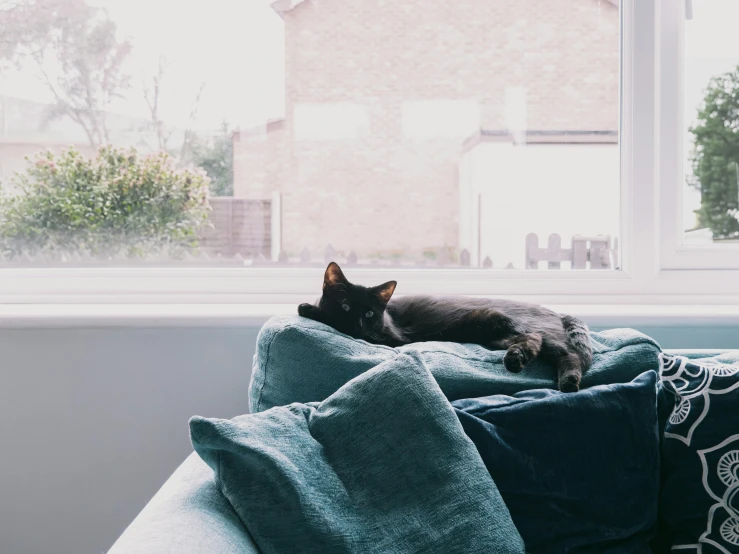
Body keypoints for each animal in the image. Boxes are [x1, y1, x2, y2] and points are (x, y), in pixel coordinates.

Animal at [298, 260, 592, 390]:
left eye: (369, 313)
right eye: (345, 307)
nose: (358, 325)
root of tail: (554, 311)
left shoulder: (390, 338)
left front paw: (308, 308)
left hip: (516, 324)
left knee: (565, 352)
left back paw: (567, 381)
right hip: (497, 334)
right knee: (533, 342)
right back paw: (516, 359)